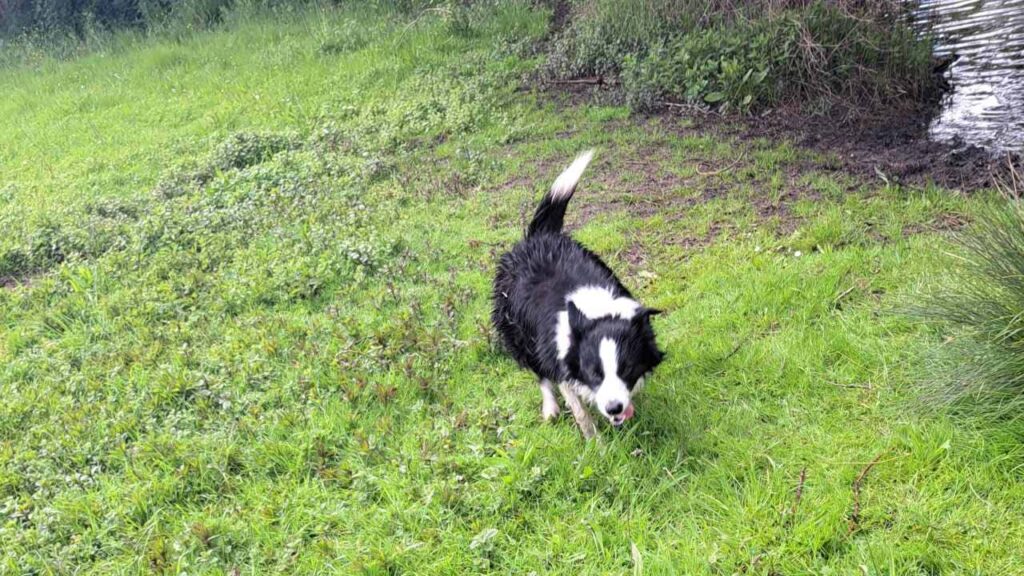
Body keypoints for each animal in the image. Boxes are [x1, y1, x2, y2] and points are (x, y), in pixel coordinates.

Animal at [493, 150, 667, 436]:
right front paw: (595, 440)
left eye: (626, 368)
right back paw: (550, 408)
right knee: (539, 373)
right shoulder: (558, 358)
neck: (595, 311)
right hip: (516, 331)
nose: (614, 409)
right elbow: (579, 409)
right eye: (595, 373)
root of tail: (537, 237)